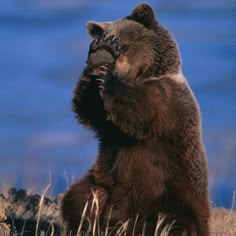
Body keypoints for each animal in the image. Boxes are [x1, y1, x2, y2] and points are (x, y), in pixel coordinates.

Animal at [61, 2, 210, 236]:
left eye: (124, 46)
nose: (117, 71)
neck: (140, 76)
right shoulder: (106, 122)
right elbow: (87, 108)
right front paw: (99, 56)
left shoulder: (166, 102)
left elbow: (139, 115)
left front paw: (110, 80)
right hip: (106, 185)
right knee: (81, 198)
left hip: (169, 196)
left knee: (175, 221)